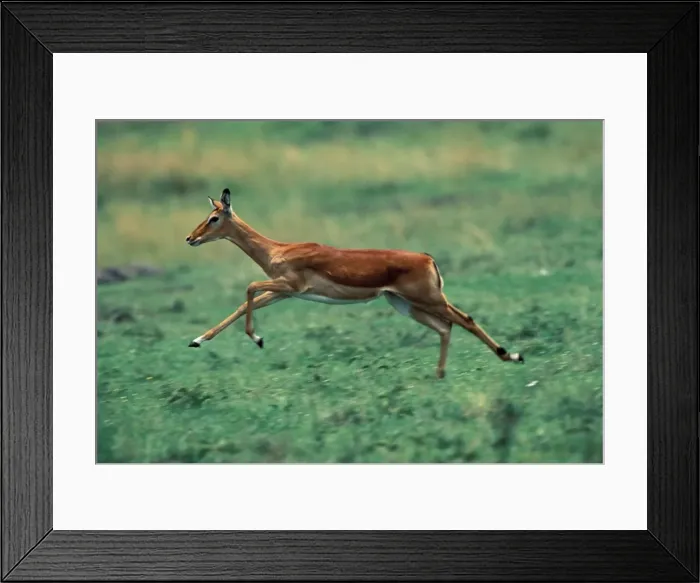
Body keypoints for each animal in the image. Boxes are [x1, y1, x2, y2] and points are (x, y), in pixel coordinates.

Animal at [185, 188, 524, 379]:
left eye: (214, 218)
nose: (190, 238)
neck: (277, 250)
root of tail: (427, 258)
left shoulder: (290, 287)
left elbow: (249, 287)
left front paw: (258, 339)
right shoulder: (284, 293)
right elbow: (243, 304)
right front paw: (197, 340)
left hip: (429, 299)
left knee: (466, 319)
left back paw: (512, 355)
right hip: (405, 305)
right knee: (445, 328)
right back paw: (439, 375)